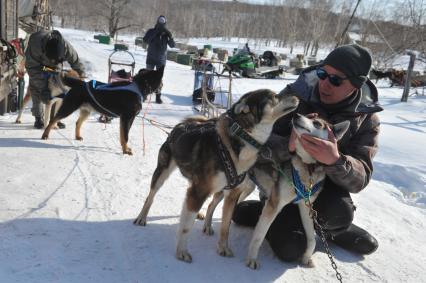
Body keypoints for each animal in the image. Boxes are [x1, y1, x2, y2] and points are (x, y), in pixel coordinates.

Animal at [134, 90, 300, 262]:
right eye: (274, 96)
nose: (296, 96)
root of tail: (180, 126)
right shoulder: (198, 191)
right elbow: (186, 226)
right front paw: (181, 251)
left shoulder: (232, 194)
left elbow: (225, 226)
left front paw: (223, 248)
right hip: (163, 173)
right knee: (151, 196)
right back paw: (142, 217)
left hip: (216, 190)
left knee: (207, 205)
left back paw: (203, 219)